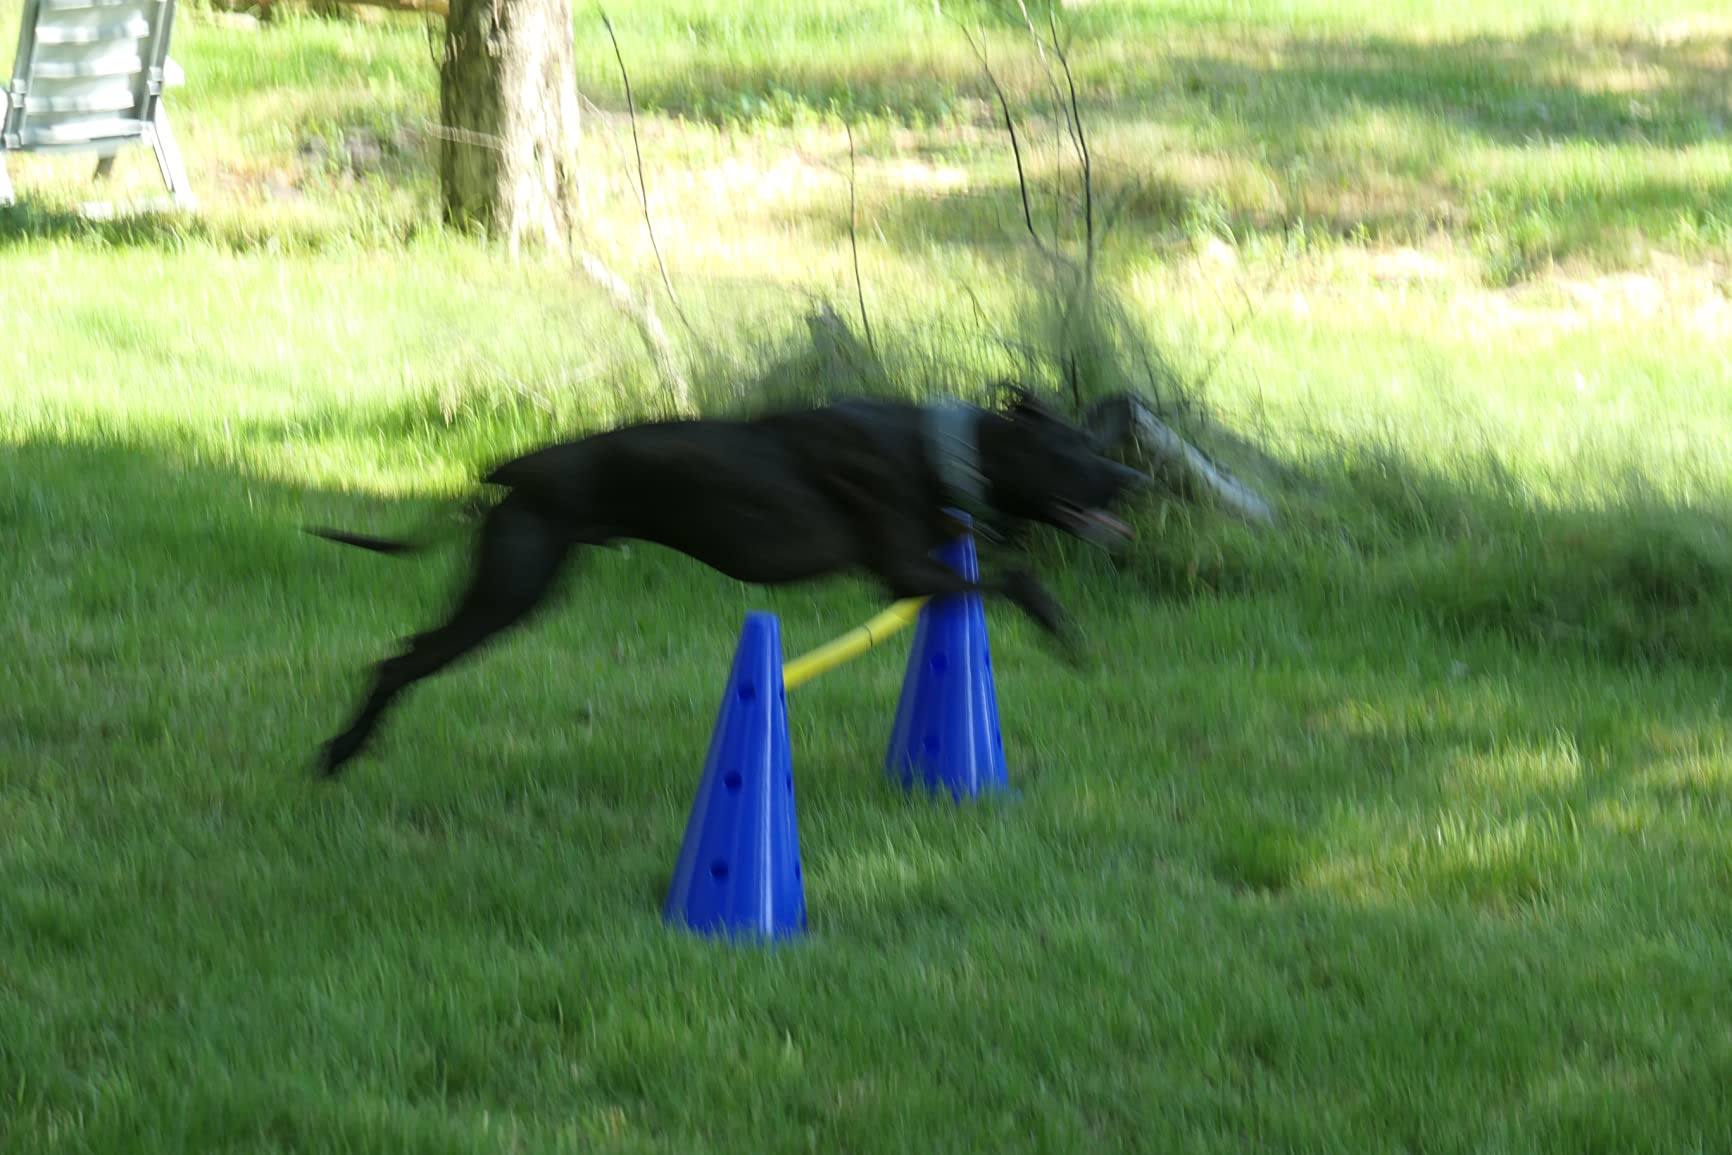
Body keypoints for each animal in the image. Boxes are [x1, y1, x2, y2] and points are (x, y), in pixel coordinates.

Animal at [308, 387, 1150, 775]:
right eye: (1074, 452)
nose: (1135, 478)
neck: (941, 444)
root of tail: (506, 473)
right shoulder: (900, 569)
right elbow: (1014, 578)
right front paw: (1064, 632)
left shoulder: (926, 555)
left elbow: (986, 553)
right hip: (510, 588)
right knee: (400, 659)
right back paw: (340, 750)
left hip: (521, 580)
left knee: (407, 650)